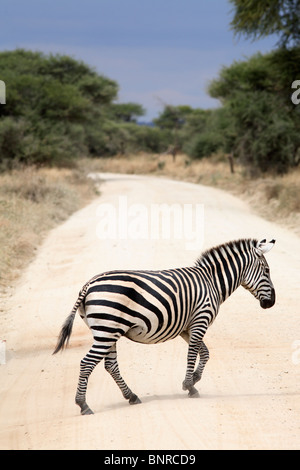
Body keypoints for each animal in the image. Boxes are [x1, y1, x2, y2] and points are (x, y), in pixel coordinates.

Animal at [53, 239, 274, 414]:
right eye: (267, 271)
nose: (271, 303)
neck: (212, 282)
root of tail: (88, 285)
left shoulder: (187, 327)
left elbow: (205, 352)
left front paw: (194, 380)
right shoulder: (200, 319)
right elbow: (193, 353)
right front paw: (189, 384)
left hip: (108, 331)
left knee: (110, 365)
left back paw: (131, 396)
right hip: (107, 329)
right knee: (87, 363)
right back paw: (83, 405)